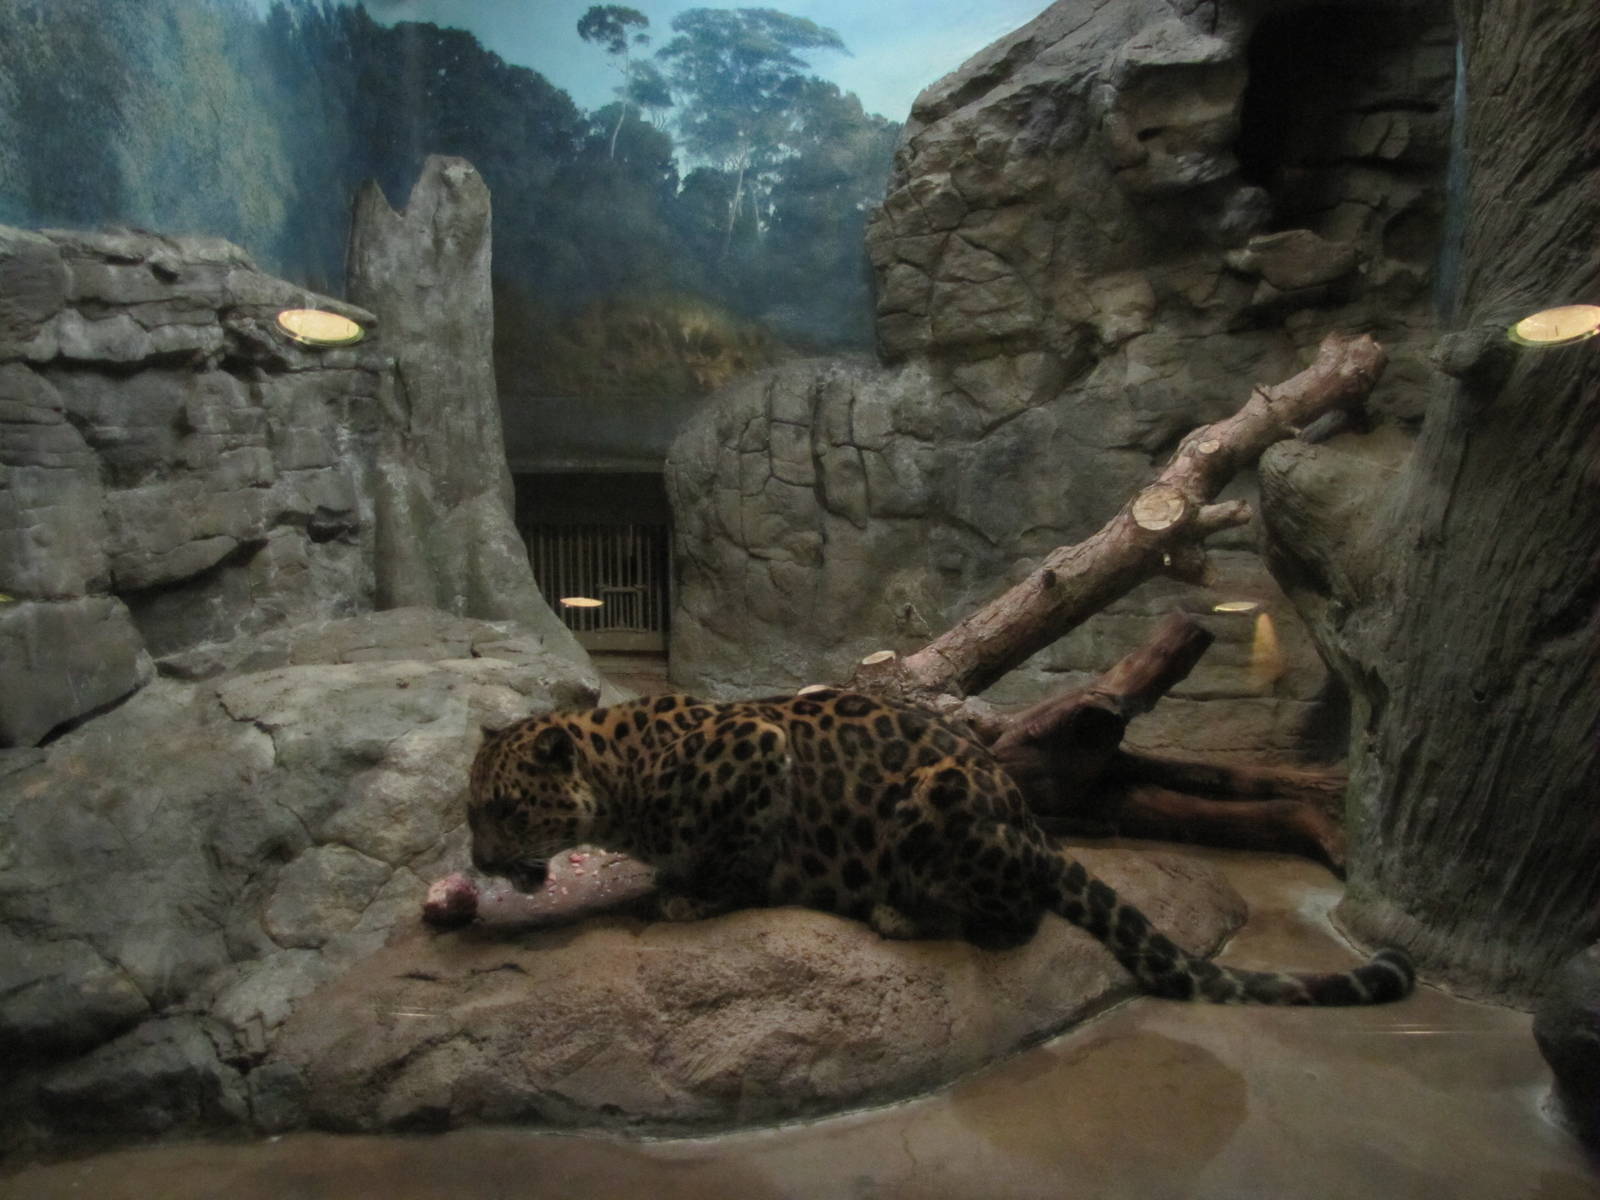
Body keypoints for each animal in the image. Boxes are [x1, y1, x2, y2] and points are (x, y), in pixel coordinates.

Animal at [468, 688, 1414, 1005]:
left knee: (1013, 918)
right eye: (470, 812)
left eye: (503, 810)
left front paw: (694, 894)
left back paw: (903, 915)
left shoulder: (760, 752)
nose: (477, 863)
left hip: (939, 801)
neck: (619, 781)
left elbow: (739, 857)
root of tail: (1032, 825)